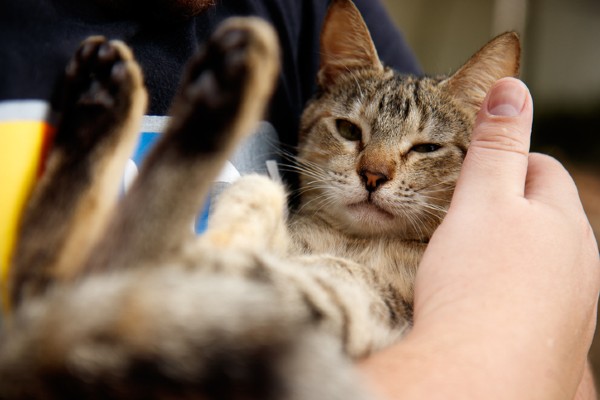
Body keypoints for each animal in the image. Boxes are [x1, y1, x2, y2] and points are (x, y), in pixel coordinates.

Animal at [0, 0, 516, 398]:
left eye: (426, 148)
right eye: (349, 130)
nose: (373, 175)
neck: (352, 243)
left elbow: (253, 197)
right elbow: (258, 191)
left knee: (74, 271)